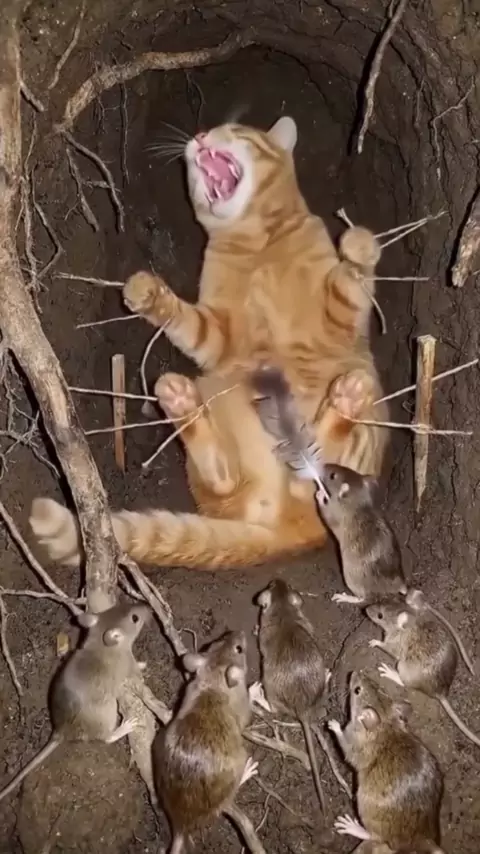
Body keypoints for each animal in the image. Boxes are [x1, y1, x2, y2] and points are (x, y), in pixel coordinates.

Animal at [30, 116, 389, 572]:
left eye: (235, 129)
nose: (200, 137)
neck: (257, 242)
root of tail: (280, 531)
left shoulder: (336, 321)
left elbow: (350, 285)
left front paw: (359, 250)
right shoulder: (217, 336)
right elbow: (185, 321)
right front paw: (151, 295)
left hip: (361, 412)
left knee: (319, 466)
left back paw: (345, 399)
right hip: (217, 408)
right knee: (229, 479)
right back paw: (180, 402)